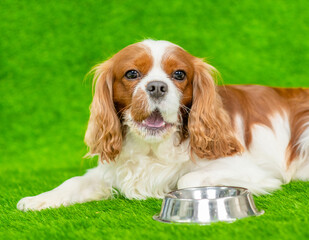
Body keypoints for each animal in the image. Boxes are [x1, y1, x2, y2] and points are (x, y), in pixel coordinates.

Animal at [17, 39, 308, 210]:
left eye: (179, 74)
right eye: (132, 73)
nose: (157, 86)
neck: (153, 148)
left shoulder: (252, 171)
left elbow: (185, 179)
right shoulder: (109, 170)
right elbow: (74, 181)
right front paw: (38, 199)